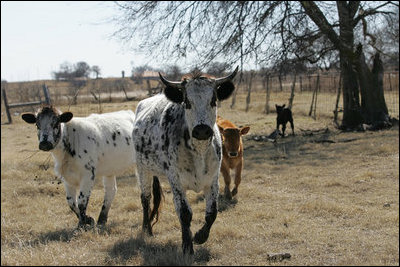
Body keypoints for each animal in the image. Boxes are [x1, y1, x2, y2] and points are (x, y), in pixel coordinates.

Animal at [132, 66, 238, 255]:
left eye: (213, 100)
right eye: (187, 102)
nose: (202, 130)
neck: (199, 152)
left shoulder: (213, 180)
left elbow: (212, 212)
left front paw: (200, 236)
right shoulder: (176, 182)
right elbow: (184, 213)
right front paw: (187, 246)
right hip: (142, 168)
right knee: (145, 198)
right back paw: (147, 230)